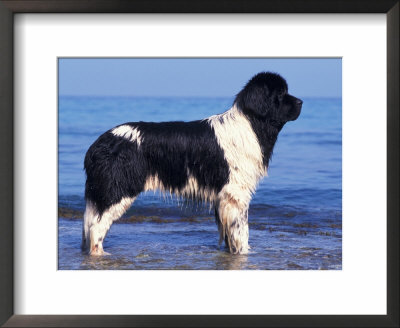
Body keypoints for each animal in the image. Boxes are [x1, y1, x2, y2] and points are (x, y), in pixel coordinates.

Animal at [81, 73, 302, 255]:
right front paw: (245, 254)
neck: (251, 124)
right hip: (119, 190)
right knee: (96, 229)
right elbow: (241, 233)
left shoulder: (223, 198)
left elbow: (230, 235)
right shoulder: (235, 195)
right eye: (281, 93)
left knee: (89, 226)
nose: (301, 101)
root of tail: (98, 144)